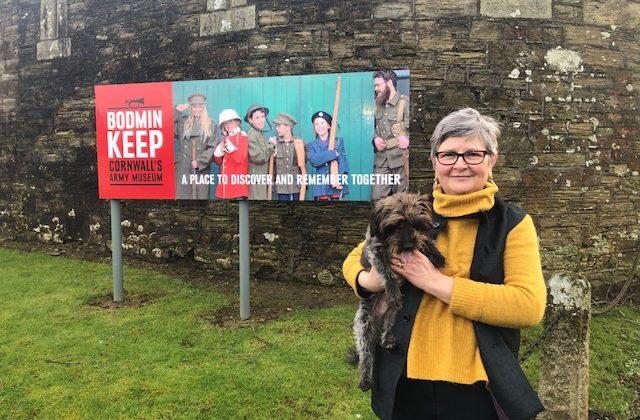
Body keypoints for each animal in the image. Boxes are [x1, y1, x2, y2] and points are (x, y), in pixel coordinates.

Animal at [350, 193, 444, 390]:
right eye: (395, 225)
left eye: (416, 223)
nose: (408, 245)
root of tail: (377, 321)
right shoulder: (375, 251)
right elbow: (388, 272)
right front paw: (393, 291)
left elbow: (425, 239)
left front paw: (437, 255)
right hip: (364, 327)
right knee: (366, 355)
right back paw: (365, 380)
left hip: (392, 315)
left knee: (386, 331)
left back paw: (389, 341)